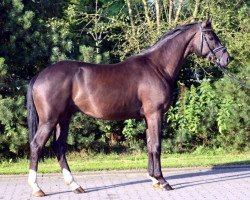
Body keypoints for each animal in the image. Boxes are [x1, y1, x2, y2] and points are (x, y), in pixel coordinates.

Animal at [26, 19, 230, 197]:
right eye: (211, 36)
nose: (227, 59)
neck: (157, 67)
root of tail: (39, 76)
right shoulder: (155, 114)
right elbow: (156, 145)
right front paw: (163, 181)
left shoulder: (148, 117)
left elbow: (149, 144)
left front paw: (153, 179)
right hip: (49, 120)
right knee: (36, 146)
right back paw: (37, 188)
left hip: (64, 118)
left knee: (59, 147)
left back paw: (75, 186)